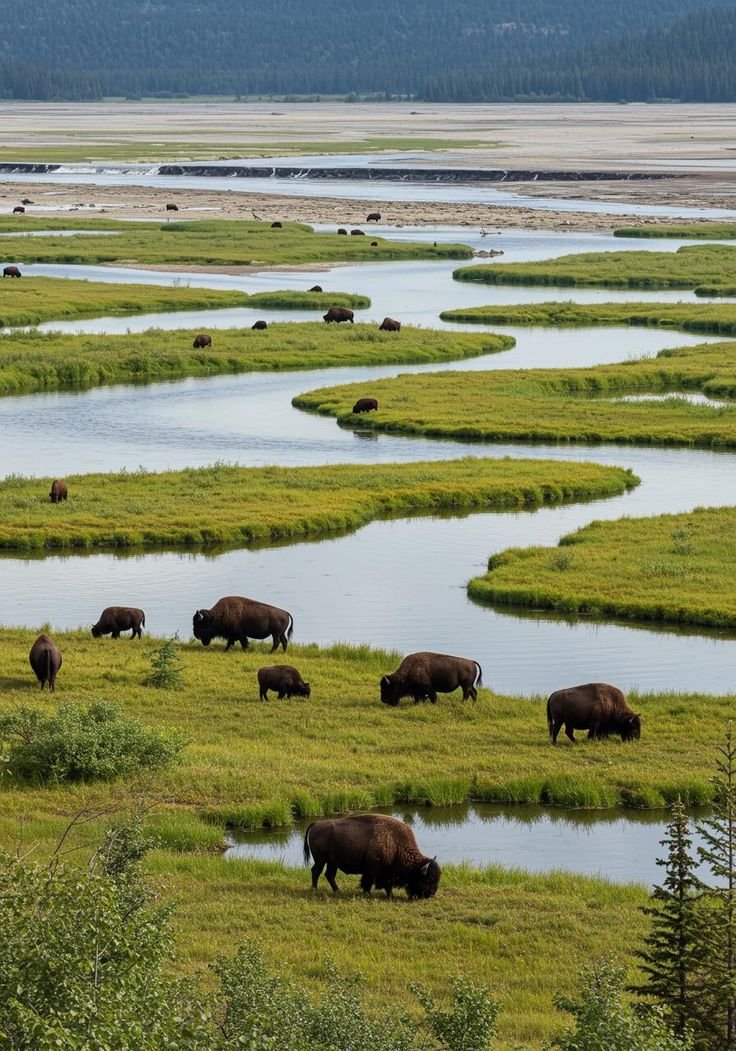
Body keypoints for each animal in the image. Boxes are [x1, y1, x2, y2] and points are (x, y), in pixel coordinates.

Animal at [304, 814, 440, 898]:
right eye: (428, 879)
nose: (431, 894)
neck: (396, 845)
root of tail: (316, 823)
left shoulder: (379, 872)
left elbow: (377, 883)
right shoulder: (376, 871)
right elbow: (374, 882)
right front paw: (374, 894)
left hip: (332, 862)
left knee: (329, 874)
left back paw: (337, 890)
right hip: (321, 860)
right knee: (316, 871)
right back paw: (315, 889)